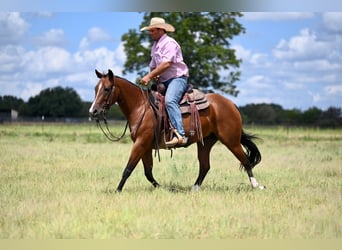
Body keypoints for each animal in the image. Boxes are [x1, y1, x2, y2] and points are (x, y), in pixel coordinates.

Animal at [89, 69, 264, 192]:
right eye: (95, 88)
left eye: (106, 89)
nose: (93, 111)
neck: (141, 107)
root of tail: (231, 104)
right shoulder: (146, 146)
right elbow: (148, 172)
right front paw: (165, 188)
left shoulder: (140, 143)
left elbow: (128, 169)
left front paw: (117, 190)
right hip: (206, 142)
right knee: (205, 166)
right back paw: (194, 188)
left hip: (231, 140)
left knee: (245, 160)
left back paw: (257, 186)